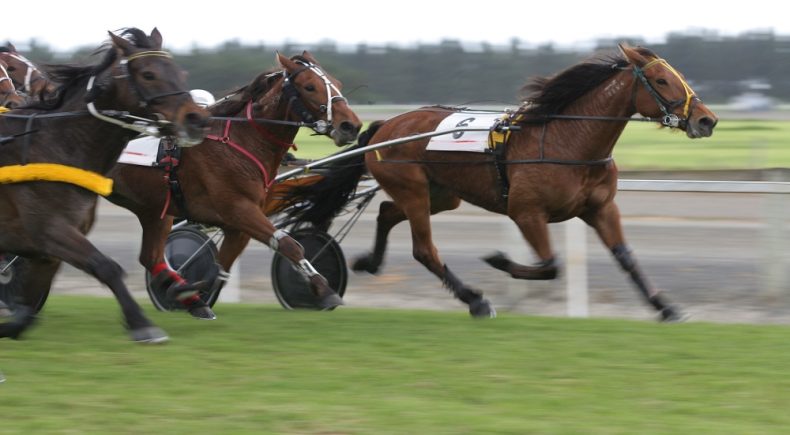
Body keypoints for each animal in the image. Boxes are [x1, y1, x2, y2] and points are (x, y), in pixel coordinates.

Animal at [0, 28, 210, 344]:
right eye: (148, 74)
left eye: (180, 73)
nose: (196, 119)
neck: (54, 145)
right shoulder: (51, 229)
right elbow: (107, 267)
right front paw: (142, 324)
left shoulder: (46, 248)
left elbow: (26, 307)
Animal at [104, 51, 362, 318]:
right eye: (310, 86)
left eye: (338, 84)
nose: (350, 126)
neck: (241, 140)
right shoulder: (239, 209)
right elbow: (290, 245)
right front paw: (325, 290)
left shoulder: (237, 224)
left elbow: (220, 266)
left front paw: (190, 294)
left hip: (154, 211)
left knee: (151, 257)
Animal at [284, 45, 716, 320]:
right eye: (661, 80)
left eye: (676, 76)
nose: (706, 120)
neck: (568, 141)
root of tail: (387, 125)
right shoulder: (526, 212)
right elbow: (550, 264)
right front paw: (499, 260)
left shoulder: (600, 208)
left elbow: (625, 257)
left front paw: (665, 307)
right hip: (413, 188)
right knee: (424, 249)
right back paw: (474, 300)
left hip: (440, 193)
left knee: (389, 212)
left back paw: (370, 261)